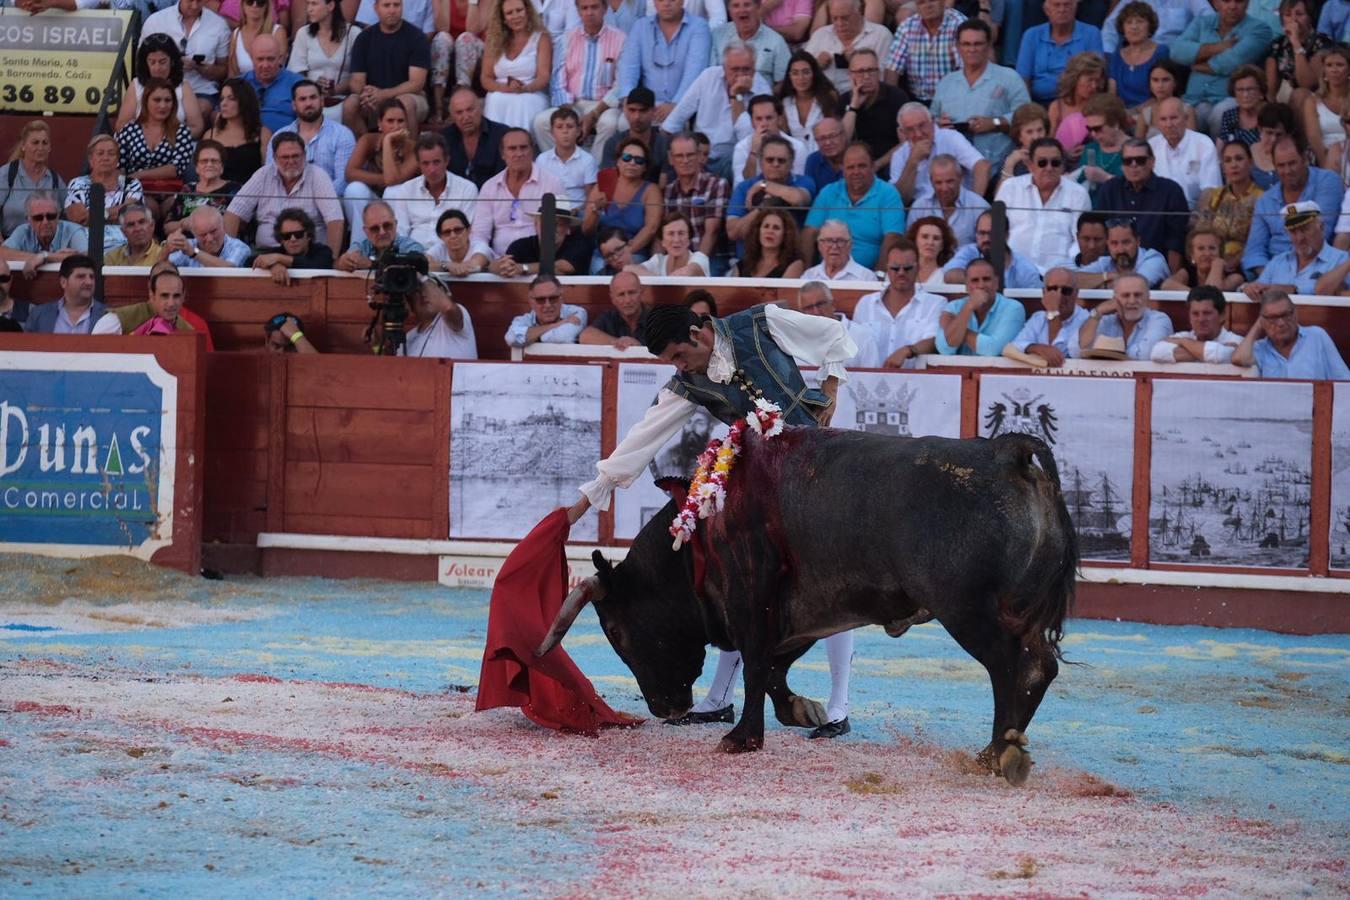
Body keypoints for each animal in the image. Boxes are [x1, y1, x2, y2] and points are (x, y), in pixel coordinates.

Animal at [537, 426, 1074, 782]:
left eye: (617, 632)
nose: (663, 708)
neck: (700, 534)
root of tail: (1006, 452)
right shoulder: (804, 612)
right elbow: (774, 667)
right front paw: (803, 711)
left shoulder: (750, 594)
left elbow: (756, 663)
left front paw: (742, 738)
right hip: (1012, 612)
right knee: (1039, 666)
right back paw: (999, 751)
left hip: (968, 611)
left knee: (1013, 668)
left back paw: (999, 754)